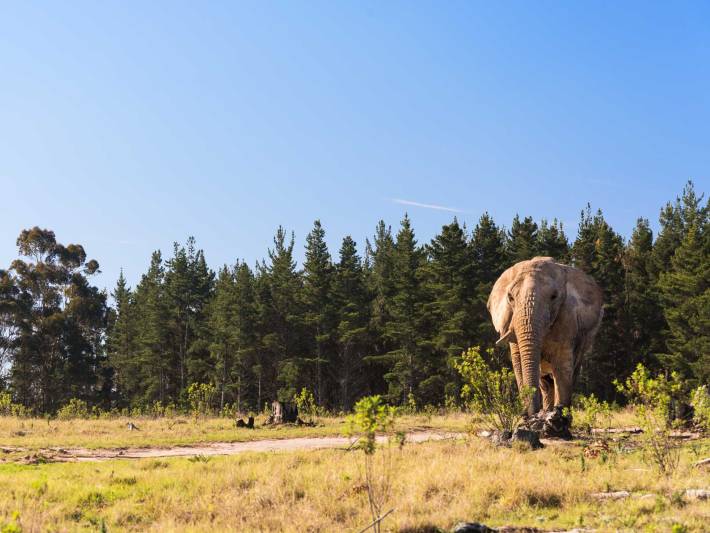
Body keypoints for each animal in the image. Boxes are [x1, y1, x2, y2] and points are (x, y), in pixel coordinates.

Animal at [492, 255, 604, 428]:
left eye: (554, 297)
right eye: (510, 297)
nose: (531, 417)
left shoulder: (567, 318)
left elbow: (562, 365)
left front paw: (559, 420)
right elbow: (518, 363)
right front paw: (531, 420)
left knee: (570, 373)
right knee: (545, 382)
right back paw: (547, 413)